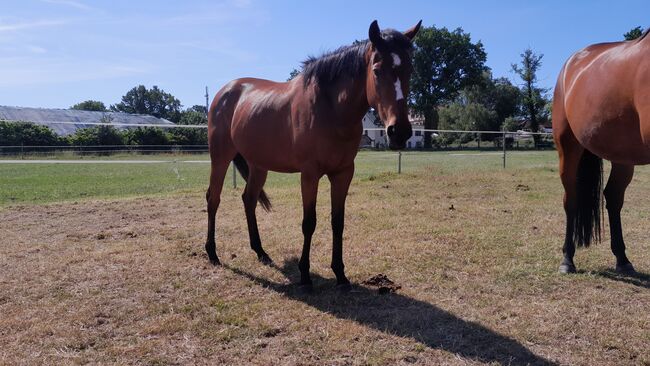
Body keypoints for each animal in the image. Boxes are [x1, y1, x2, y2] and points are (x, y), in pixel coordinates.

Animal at [552, 29, 648, 274]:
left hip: (623, 157)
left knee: (613, 197)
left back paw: (622, 259)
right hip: (568, 148)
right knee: (571, 199)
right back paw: (567, 259)